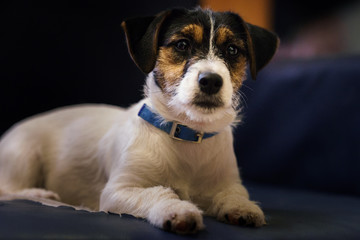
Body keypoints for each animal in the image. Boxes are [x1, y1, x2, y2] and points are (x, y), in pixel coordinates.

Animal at [0, 7, 278, 234]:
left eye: (232, 50)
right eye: (182, 45)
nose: (210, 80)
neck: (186, 134)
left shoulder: (227, 182)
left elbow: (234, 193)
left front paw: (242, 207)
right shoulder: (119, 191)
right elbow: (158, 193)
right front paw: (179, 210)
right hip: (24, 155)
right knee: (7, 189)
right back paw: (40, 193)